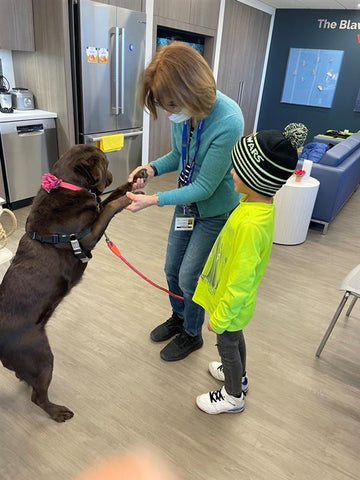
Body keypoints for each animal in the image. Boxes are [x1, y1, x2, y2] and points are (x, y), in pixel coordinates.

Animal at [0, 144, 147, 422]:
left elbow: (109, 199)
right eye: (107, 164)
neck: (67, 185)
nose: (111, 176)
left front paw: (135, 179)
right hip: (41, 356)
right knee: (38, 397)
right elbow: (109, 207)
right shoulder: (85, 238)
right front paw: (127, 199)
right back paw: (58, 412)